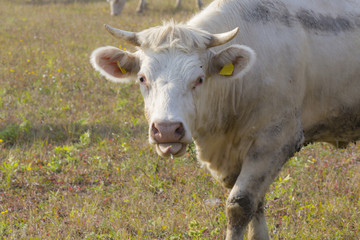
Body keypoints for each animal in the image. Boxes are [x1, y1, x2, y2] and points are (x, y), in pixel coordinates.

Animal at [90, 0, 360, 239]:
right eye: (142, 78)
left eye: (199, 79)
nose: (166, 129)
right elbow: (256, 203)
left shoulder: (276, 140)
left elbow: (240, 204)